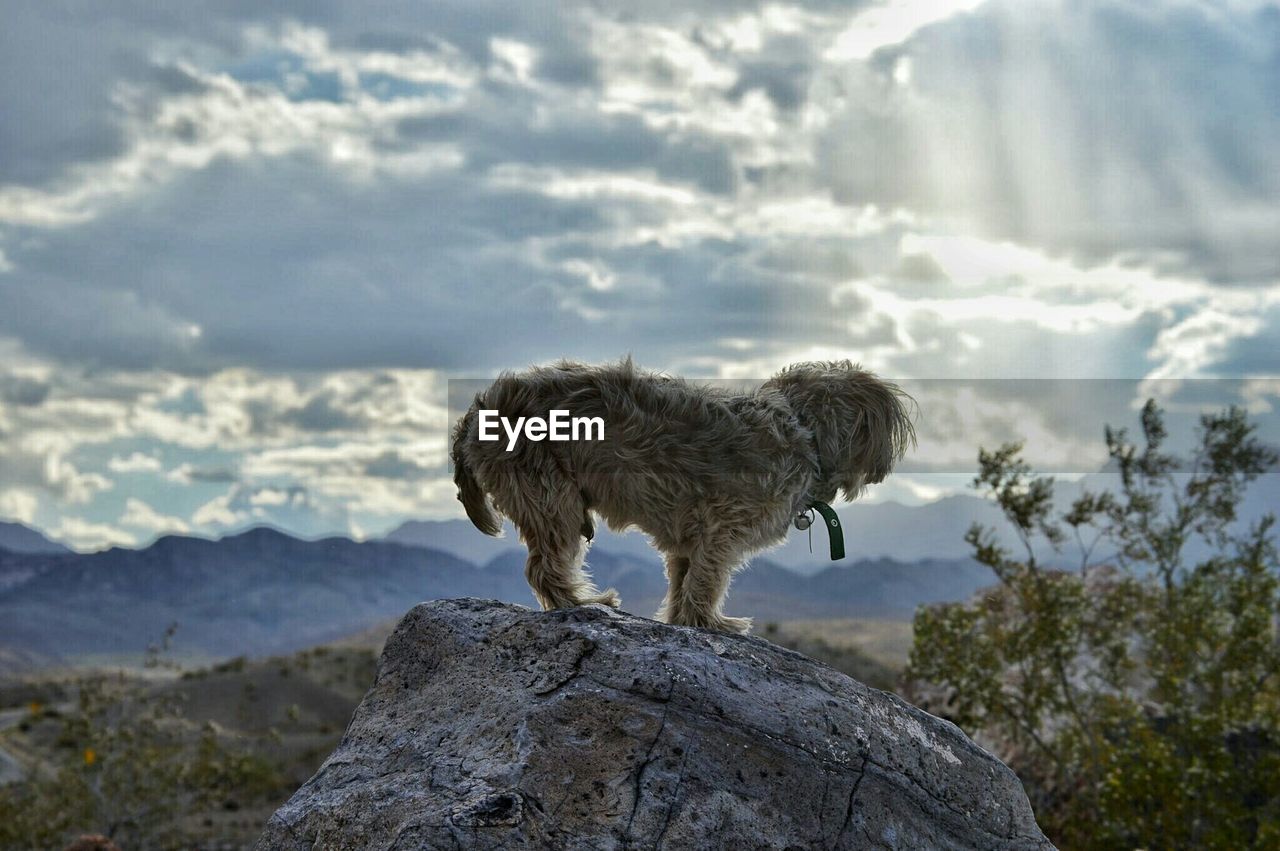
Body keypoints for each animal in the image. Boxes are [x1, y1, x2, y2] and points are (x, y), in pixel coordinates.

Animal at [450, 358, 911, 629]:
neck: (805, 431)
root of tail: (477, 410)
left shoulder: (689, 541)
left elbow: (684, 581)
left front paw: (679, 618)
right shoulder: (722, 531)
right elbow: (708, 581)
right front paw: (710, 623)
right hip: (549, 495)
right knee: (544, 567)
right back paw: (585, 600)